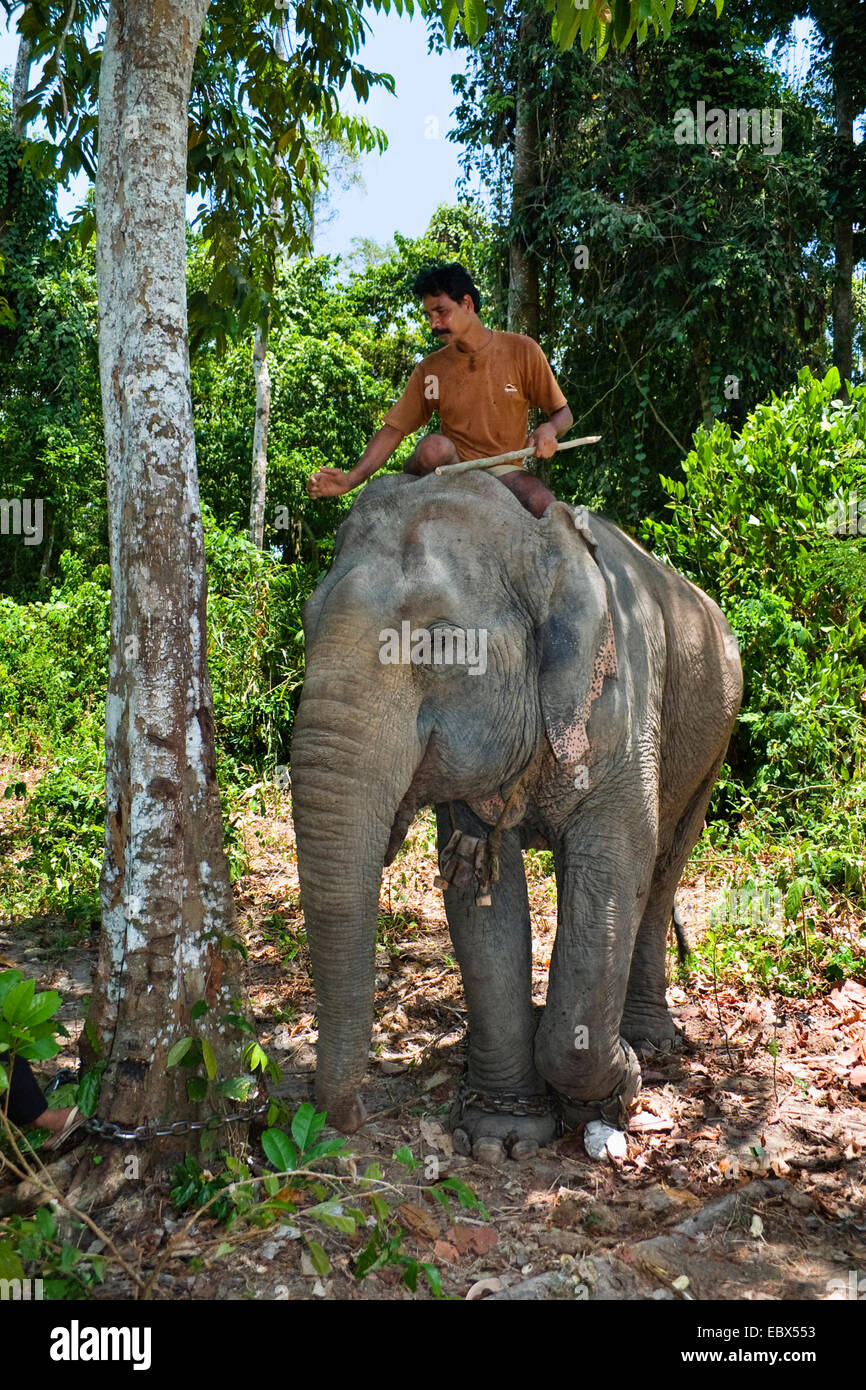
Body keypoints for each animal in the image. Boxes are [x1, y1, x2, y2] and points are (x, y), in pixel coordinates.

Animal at [289, 469, 739, 1162]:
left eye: (440, 641)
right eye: (308, 626)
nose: (347, 1117)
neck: (538, 542)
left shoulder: (622, 708)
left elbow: (615, 869)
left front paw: (618, 1086)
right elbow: (479, 901)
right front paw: (502, 1137)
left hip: (715, 733)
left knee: (665, 866)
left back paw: (652, 1040)